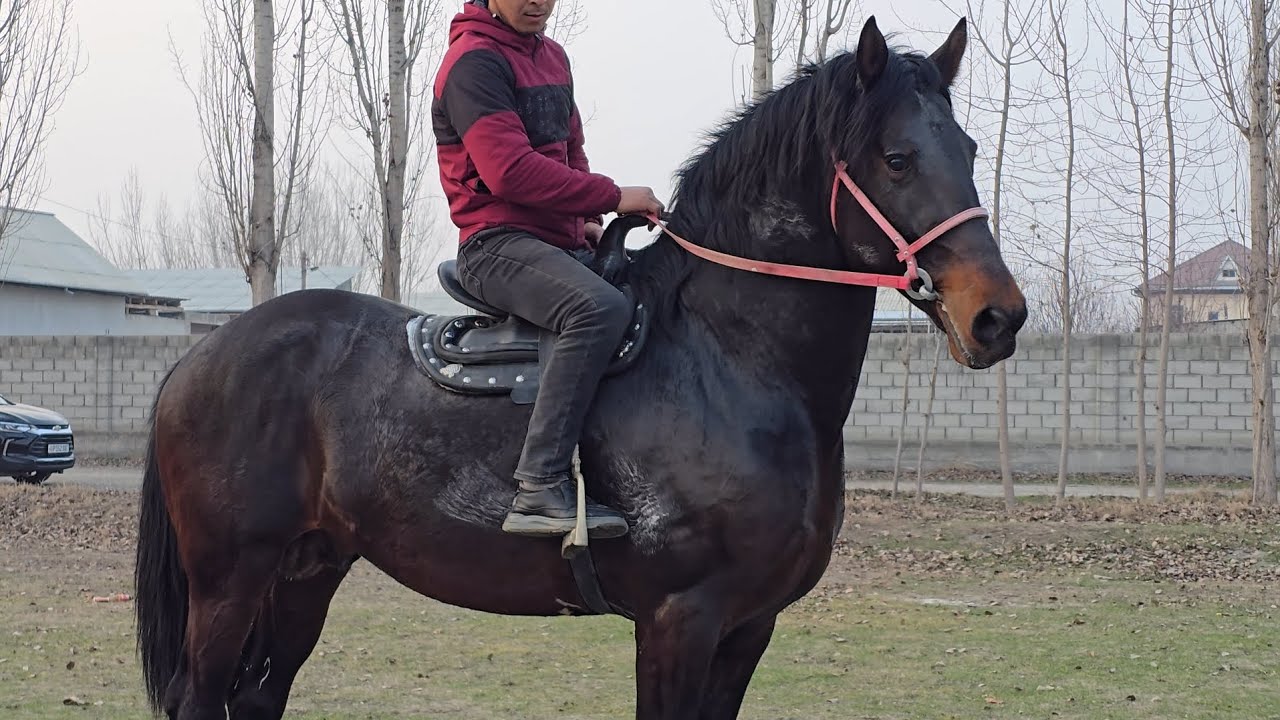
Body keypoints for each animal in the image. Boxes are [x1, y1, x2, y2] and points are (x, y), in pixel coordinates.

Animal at [134, 16, 1026, 720]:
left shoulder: (749, 627)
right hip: (229, 582)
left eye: (968, 147)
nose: (998, 316)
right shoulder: (679, 621)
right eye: (897, 158)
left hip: (306, 571)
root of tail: (202, 357)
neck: (729, 363)